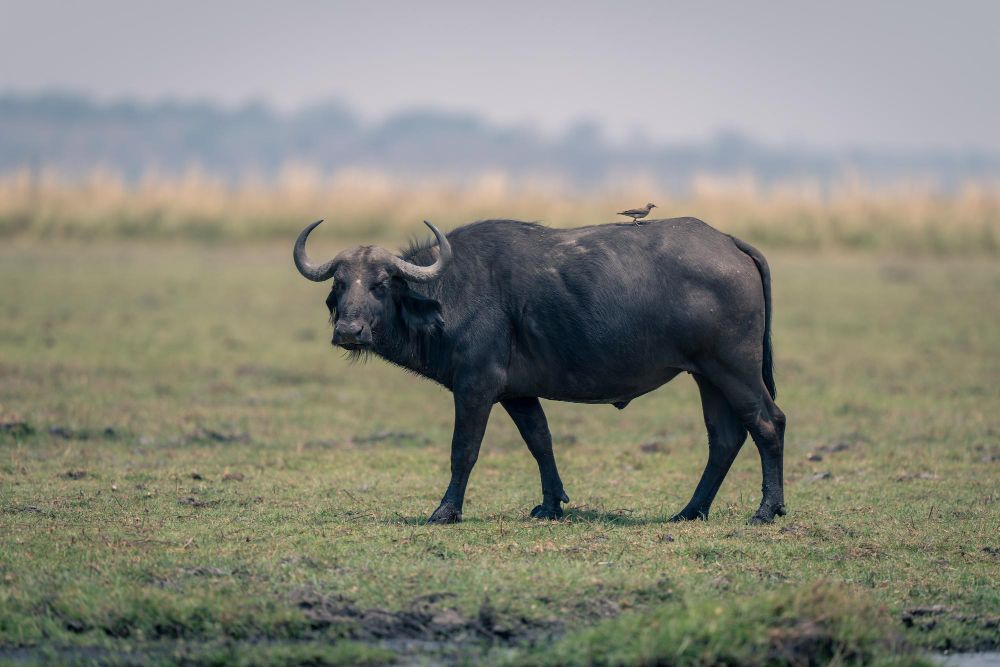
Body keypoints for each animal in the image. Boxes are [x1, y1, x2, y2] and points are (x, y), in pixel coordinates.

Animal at [293, 217, 786, 525]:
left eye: (380, 284)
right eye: (341, 283)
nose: (349, 331)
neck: (450, 291)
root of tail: (728, 242)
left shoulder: (475, 386)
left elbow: (464, 450)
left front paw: (446, 511)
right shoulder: (517, 394)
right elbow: (540, 442)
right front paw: (551, 505)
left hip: (735, 369)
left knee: (768, 423)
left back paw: (767, 510)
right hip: (706, 376)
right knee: (724, 438)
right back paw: (690, 510)